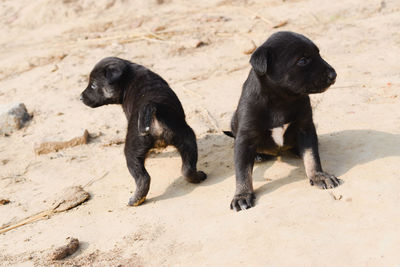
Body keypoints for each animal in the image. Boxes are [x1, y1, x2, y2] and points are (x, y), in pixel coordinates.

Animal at [80, 56, 208, 207]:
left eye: (93, 85)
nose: (80, 97)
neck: (128, 75)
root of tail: (151, 106)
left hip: (132, 149)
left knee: (143, 178)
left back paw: (136, 199)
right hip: (186, 137)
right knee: (187, 168)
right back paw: (197, 177)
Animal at [227, 31, 342, 211]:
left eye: (318, 53)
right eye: (302, 60)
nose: (333, 74)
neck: (282, 100)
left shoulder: (306, 128)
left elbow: (311, 155)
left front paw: (318, 176)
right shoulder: (245, 138)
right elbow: (242, 171)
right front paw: (242, 195)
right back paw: (258, 155)